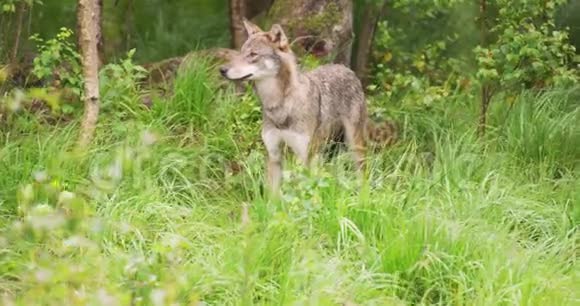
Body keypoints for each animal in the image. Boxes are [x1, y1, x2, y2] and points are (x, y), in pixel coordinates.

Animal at [220, 19, 396, 196]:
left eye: (253, 54)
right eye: (241, 52)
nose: (222, 70)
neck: (280, 105)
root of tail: (346, 69)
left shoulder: (303, 156)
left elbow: (304, 192)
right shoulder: (274, 155)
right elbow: (273, 197)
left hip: (353, 146)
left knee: (361, 175)